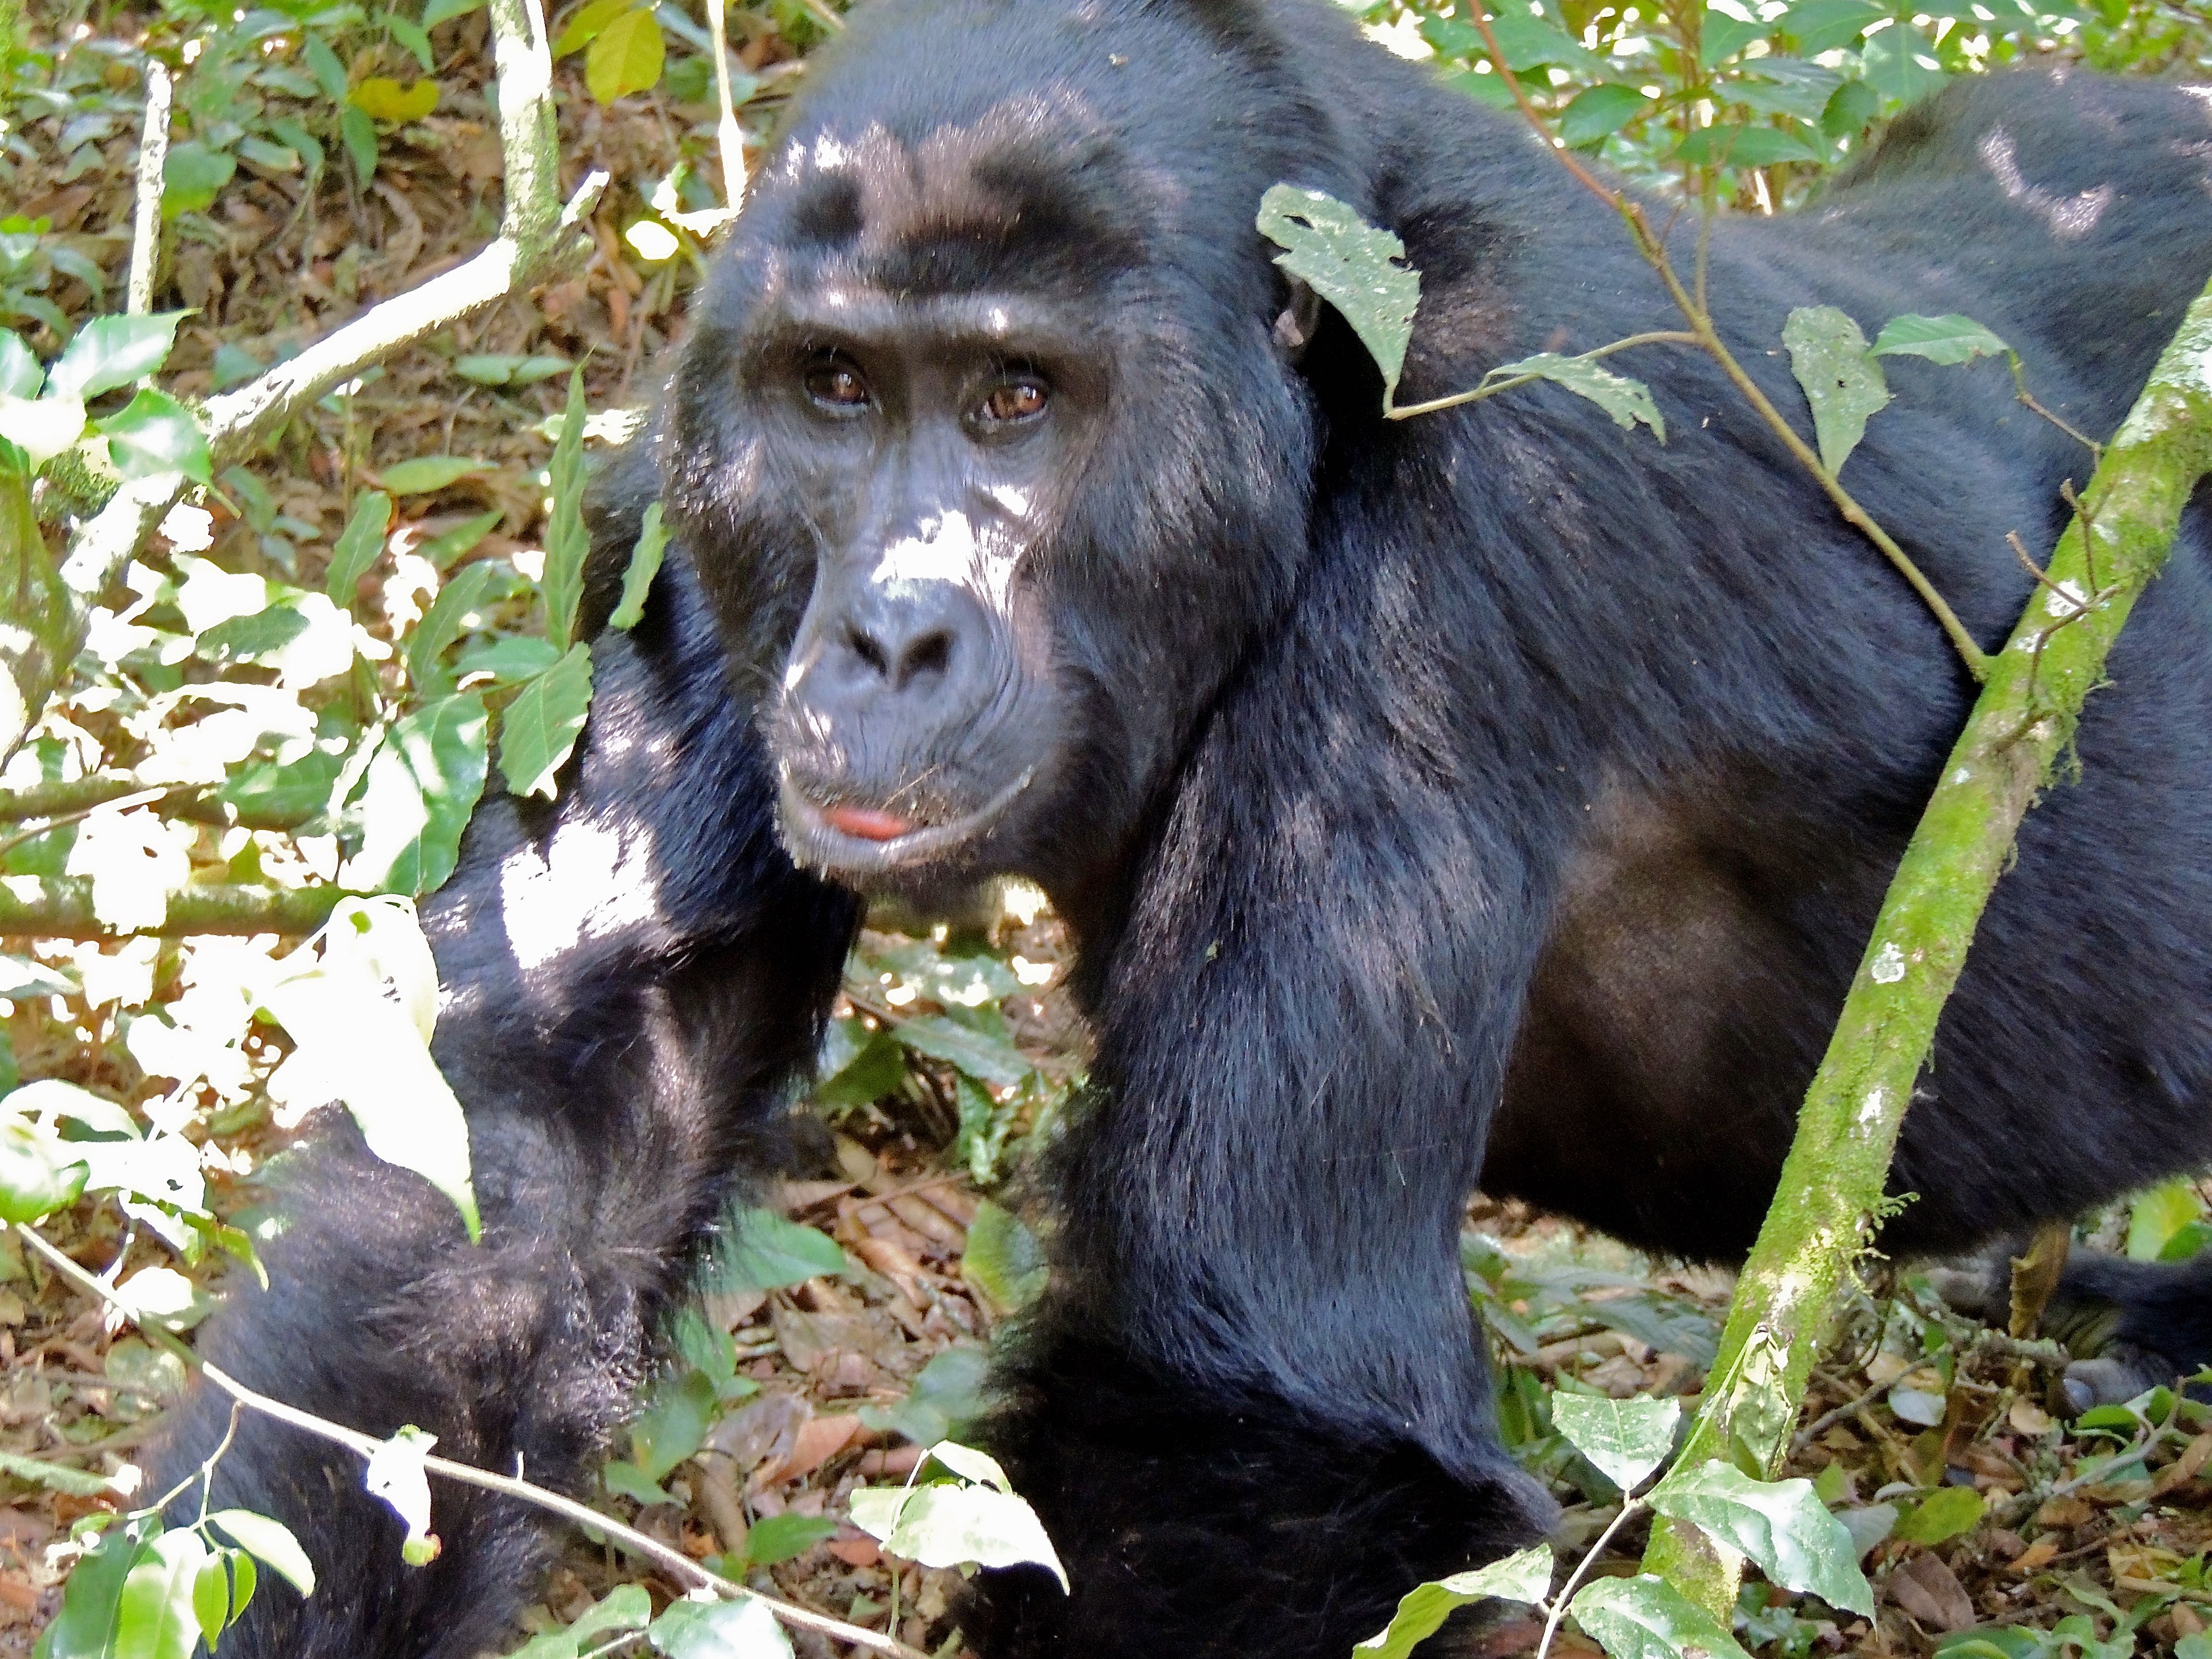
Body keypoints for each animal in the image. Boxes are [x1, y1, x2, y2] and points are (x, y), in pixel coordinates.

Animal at [147, 3, 2212, 1659]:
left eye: (1015, 398)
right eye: (835, 389)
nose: (887, 634)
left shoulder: (1492, 519)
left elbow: (1253, 1407)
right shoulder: (687, 482)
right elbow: (543, 1143)